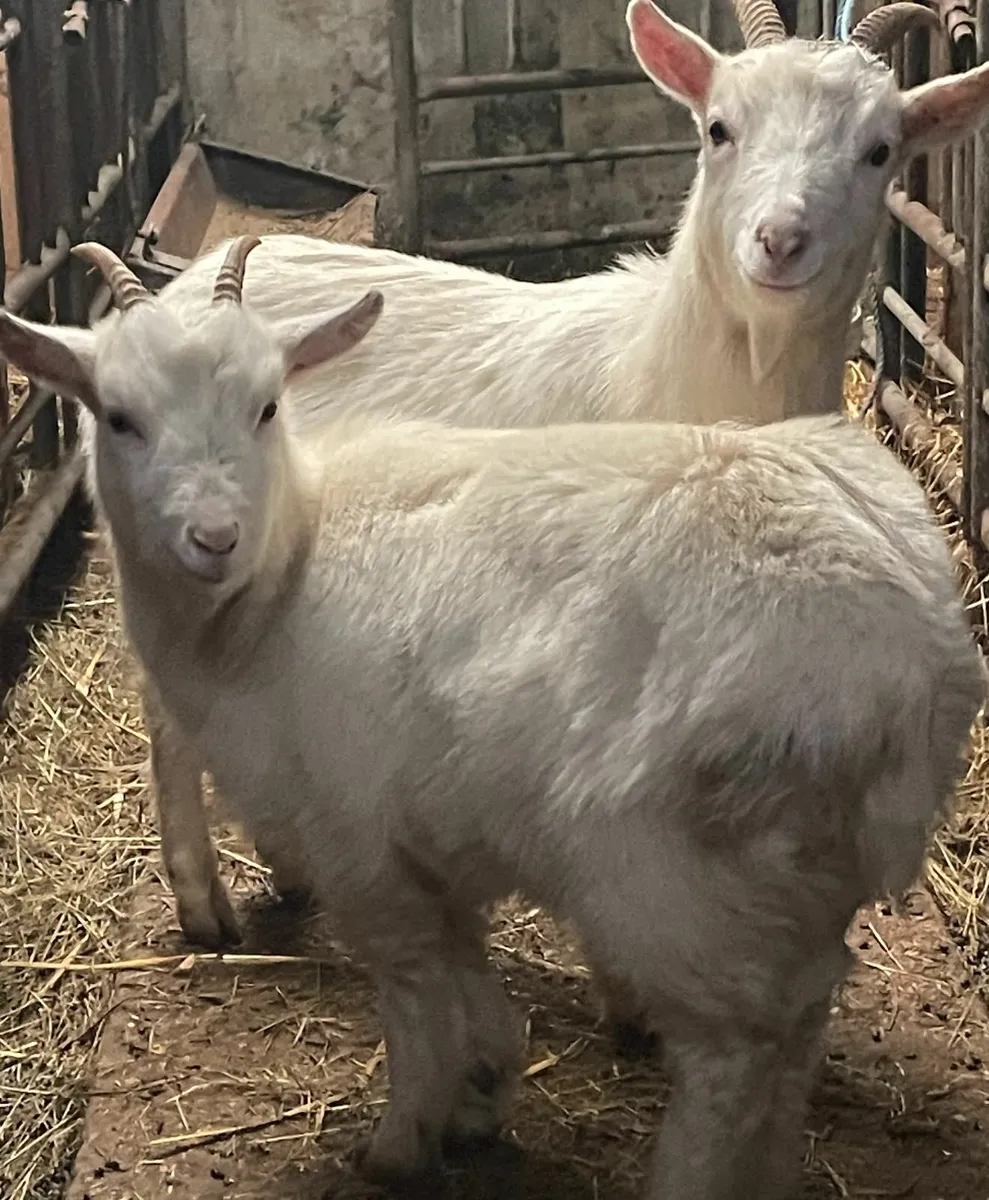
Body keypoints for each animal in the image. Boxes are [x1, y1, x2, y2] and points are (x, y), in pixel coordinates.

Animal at [0, 241, 981, 1200]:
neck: (278, 577)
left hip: (680, 879)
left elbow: (409, 989)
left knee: (731, 1059)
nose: (213, 538)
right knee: (799, 1026)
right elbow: (466, 968)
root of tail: (917, 653)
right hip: (794, 875)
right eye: (117, 418)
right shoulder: (431, 840)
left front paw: (401, 1140)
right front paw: (481, 1091)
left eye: (268, 406)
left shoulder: (356, 838)